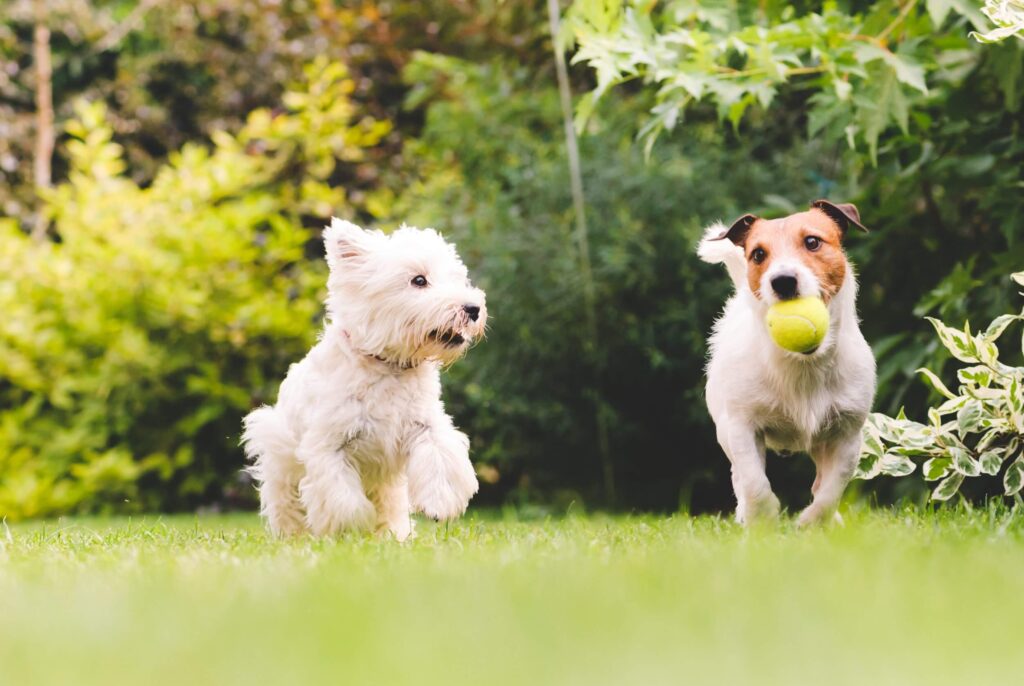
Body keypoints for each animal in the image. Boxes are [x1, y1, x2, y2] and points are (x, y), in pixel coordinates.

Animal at [245, 220, 489, 544]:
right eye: (419, 280)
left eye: (458, 278)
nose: (473, 308)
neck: (387, 365)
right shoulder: (329, 445)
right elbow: (344, 500)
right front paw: (350, 530)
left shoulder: (424, 424)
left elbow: (440, 456)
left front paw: (440, 504)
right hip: (279, 458)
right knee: (286, 505)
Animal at [700, 200, 876, 528]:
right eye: (758, 254)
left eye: (812, 242)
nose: (782, 281)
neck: (803, 363)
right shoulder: (741, 427)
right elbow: (754, 481)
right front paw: (763, 516)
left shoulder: (847, 434)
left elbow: (832, 489)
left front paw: (813, 521)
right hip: (725, 429)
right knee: (739, 476)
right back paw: (745, 513)